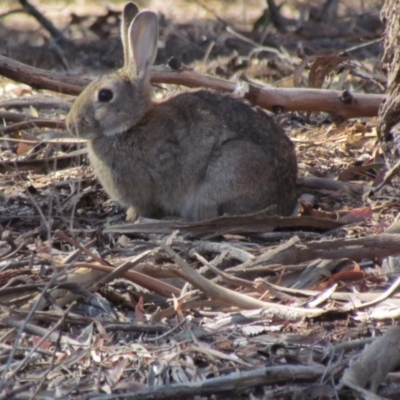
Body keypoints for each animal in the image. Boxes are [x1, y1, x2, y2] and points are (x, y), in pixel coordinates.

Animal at [66, 3, 296, 220]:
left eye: (105, 95)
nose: (71, 125)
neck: (132, 125)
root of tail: (285, 199)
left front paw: (133, 217)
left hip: (232, 165)